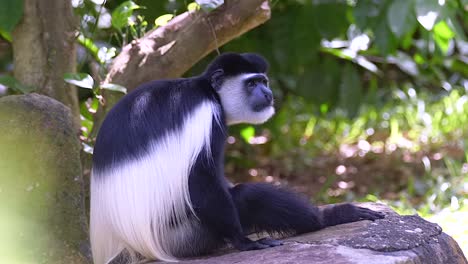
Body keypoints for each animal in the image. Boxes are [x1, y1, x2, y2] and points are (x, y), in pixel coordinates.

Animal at [90, 52, 384, 262]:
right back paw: (331, 217)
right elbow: (201, 181)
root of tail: (129, 247)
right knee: (247, 196)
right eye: (252, 83)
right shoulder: (209, 117)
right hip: (183, 235)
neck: (208, 90)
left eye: (263, 81)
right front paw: (244, 242)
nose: (268, 93)